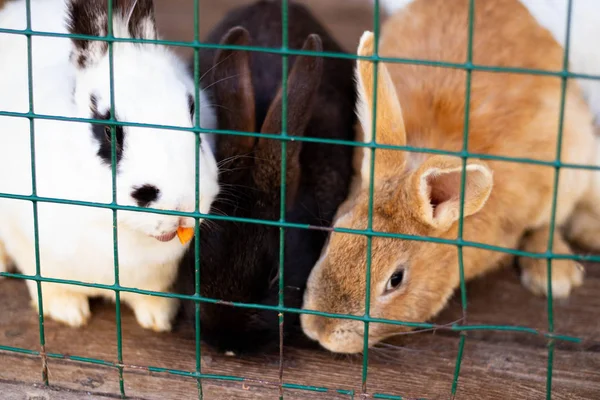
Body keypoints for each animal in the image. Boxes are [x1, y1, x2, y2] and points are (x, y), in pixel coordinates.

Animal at [0, 0, 220, 332]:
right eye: (110, 131)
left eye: (191, 108)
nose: (181, 208)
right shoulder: (28, 242)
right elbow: (49, 286)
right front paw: (69, 314)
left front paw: (159, 319)